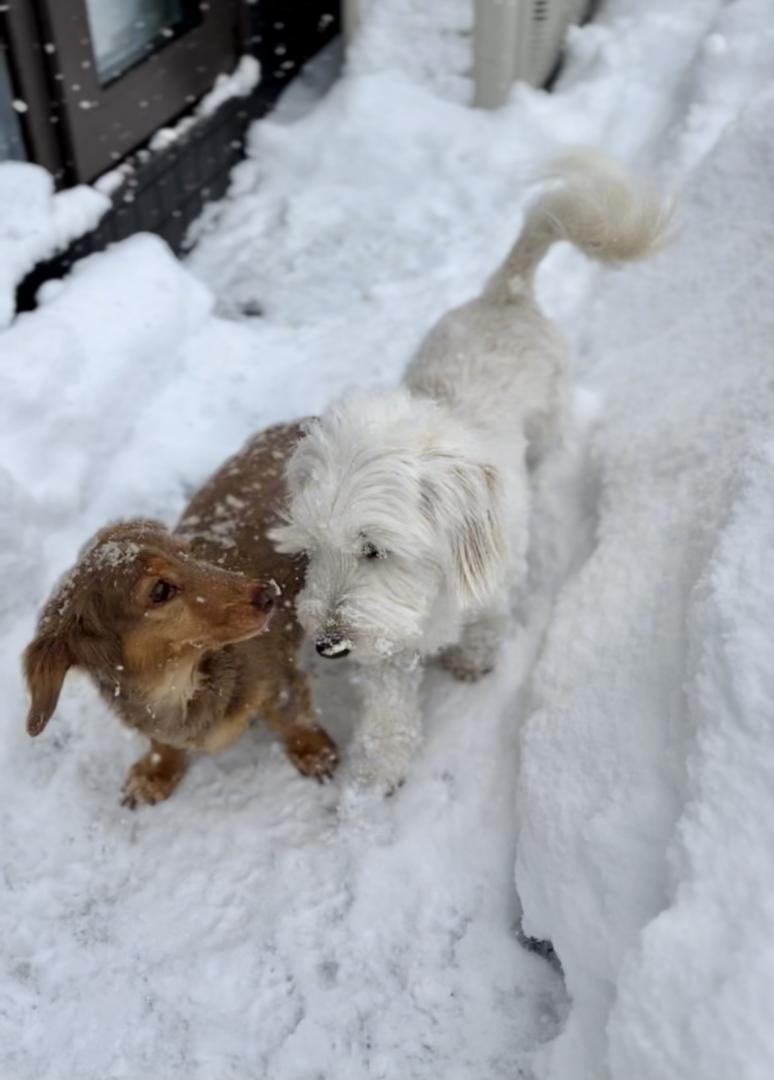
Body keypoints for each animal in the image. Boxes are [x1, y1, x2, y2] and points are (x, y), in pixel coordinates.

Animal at [273, 152, 669, 790]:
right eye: (310, 549)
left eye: (374, 549)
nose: (328, 646)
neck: (434, 586)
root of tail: (505, 292)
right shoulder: (387, 636)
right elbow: (387, 706)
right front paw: (380, 768)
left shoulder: (491, 587)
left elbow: (487, 625)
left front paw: (474, 659)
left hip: (550, 415)